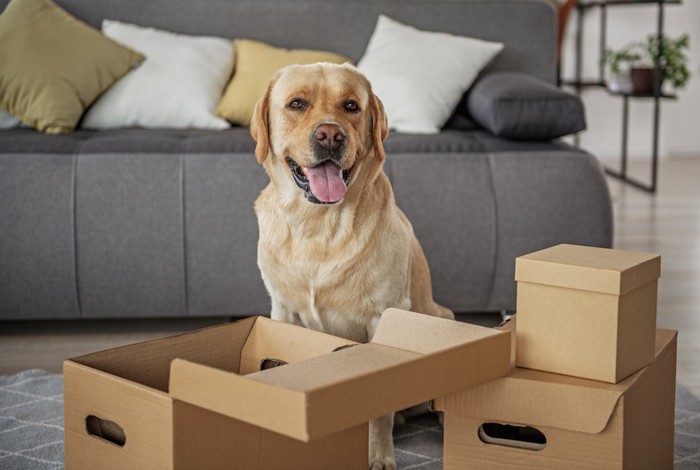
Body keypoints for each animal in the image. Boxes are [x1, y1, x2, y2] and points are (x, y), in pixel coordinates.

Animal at [252, 63, 454, 470]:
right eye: (296, 104)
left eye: (351, 106)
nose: (330, 135)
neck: (318, 226)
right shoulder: (281, 312)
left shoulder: (383, 317)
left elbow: (379, 411)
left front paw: (378, 456)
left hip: (442, 318)